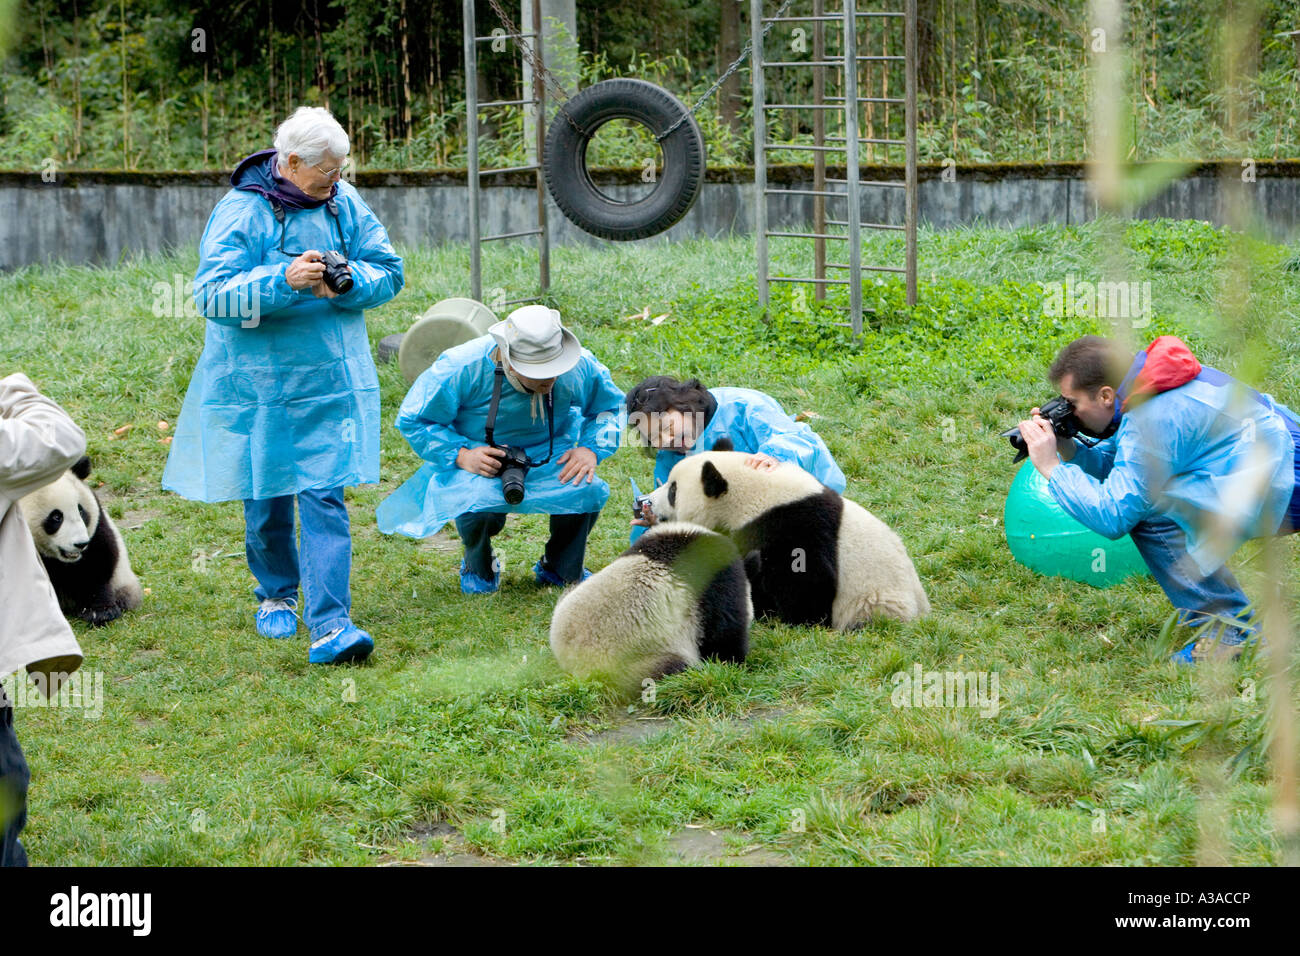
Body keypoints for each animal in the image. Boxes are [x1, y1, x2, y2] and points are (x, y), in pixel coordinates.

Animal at [18, 457, 142, 629]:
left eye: (81, 511)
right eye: (56, 517)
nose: (81, 544)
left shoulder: (97, 528)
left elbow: (97, 564)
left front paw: (100, 612)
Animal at [644, 442, 930, 634]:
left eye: (673, 491)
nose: (648, 503)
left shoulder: (792, 525)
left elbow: (808, 581)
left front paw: (791, 619)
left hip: (877, 601)